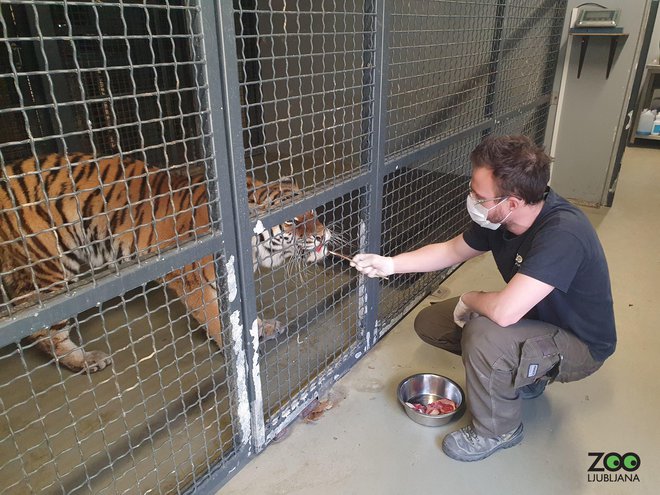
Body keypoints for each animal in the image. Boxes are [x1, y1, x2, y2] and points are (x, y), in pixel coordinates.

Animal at [0, 153, 330, 374]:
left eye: (313, 211)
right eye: (291, 220)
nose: (323, 235)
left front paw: (261, 327)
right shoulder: (194, 283)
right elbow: (215, 319)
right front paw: (237, 351)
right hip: (51, 268)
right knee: (41, 331)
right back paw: (84, 360)